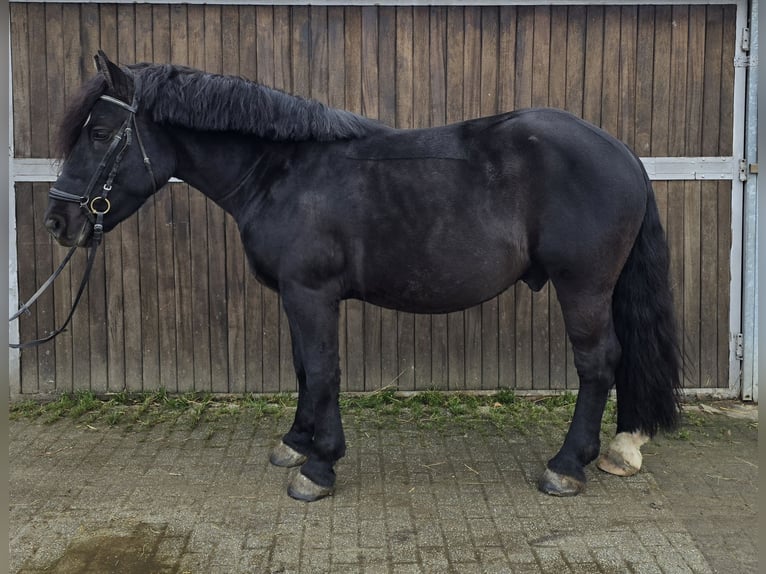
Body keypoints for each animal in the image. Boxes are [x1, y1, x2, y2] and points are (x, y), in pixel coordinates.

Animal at [42, 53, 680, 504]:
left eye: (98, 134)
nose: (59, 221)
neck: (282, 172)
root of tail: (622, 153)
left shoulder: (312, 293)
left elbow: (324, 371)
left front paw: (319, 468)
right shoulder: (294, 296)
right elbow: (304, 367)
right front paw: (295, 444)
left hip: (583, 287)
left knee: (598, 363)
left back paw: (566, 466)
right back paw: (620, 447)